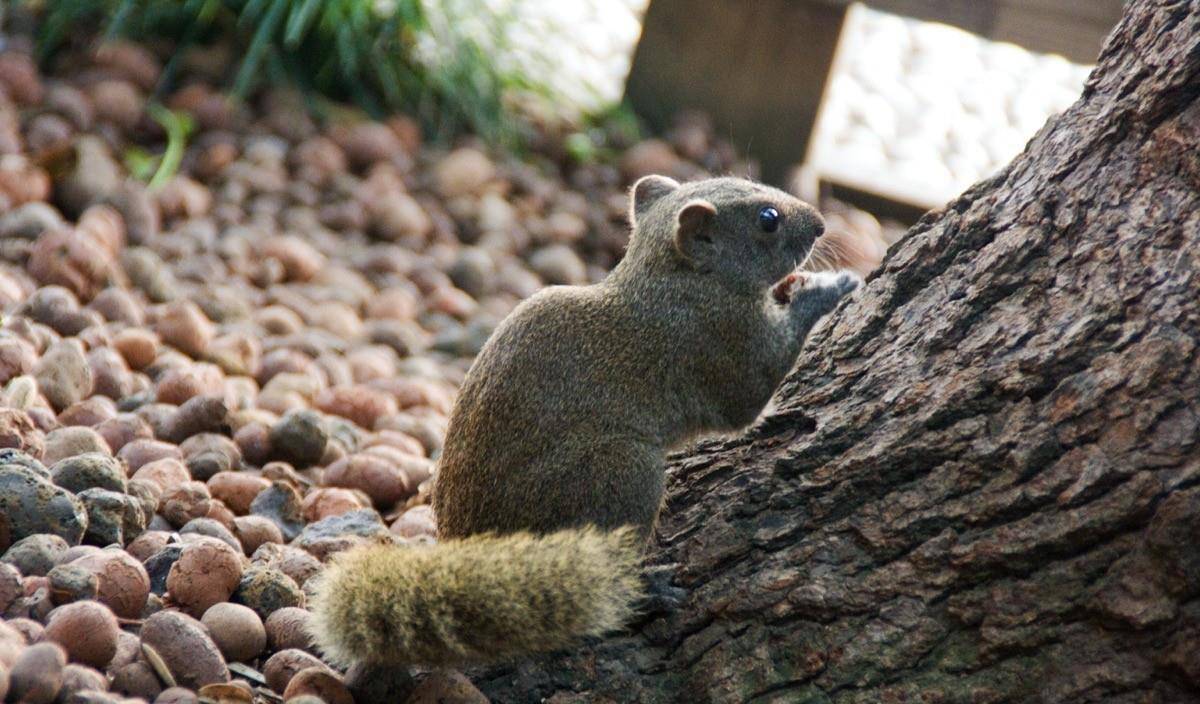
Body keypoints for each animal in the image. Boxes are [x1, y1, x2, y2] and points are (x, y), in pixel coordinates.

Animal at [309, 173, 864, 671]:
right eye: (767, 219)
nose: (820, 224)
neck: (672, 279)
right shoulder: (724, 344)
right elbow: (750, 396)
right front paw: (825, 287)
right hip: (623, 475)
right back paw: (642, 593)